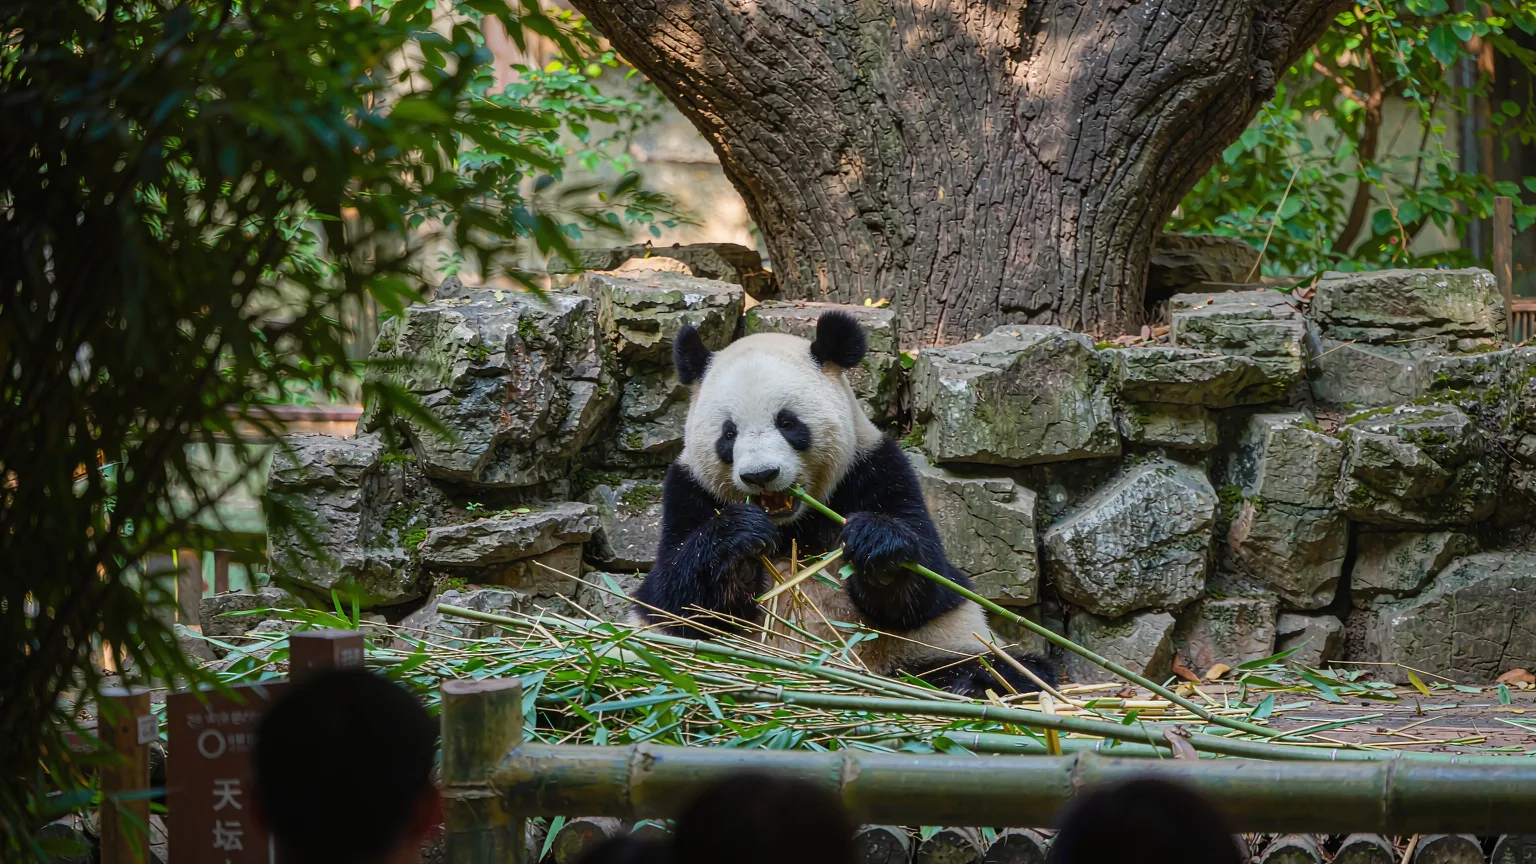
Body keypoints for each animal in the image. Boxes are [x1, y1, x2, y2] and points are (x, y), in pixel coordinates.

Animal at [630, 311, 1056, 698]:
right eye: (728, 433)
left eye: (788, 422)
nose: (761, 474)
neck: (793, 524)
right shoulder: (687, 491)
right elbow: (676, 599)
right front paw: (739, 537)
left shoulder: (875, 469)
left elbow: (925, 583)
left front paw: (876, 547)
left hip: (935, 645)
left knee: (1008, 669)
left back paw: (971, 685)